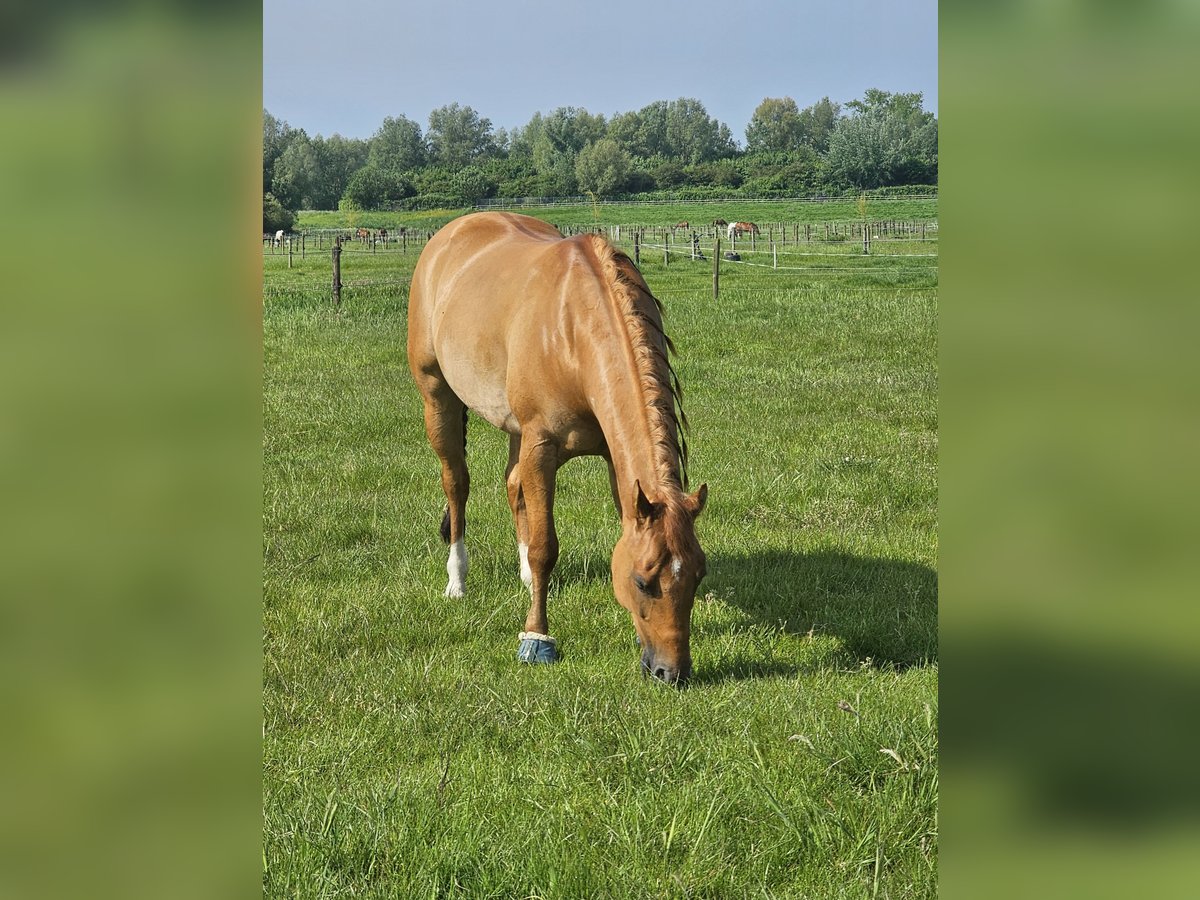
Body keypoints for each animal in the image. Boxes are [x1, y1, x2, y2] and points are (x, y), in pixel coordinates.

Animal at [412, 213, 710, 691]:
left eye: (698, 576)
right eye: (643, 582)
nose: (671, 672)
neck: (573, 331)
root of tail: (448, 234)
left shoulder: (610, 458)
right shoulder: (542, 447)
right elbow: (545, 546)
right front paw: (536, 638)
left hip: (514, 429)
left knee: (513, 486)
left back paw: (523, 576)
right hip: (437, 396)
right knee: (456, 483)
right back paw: (457, 580)